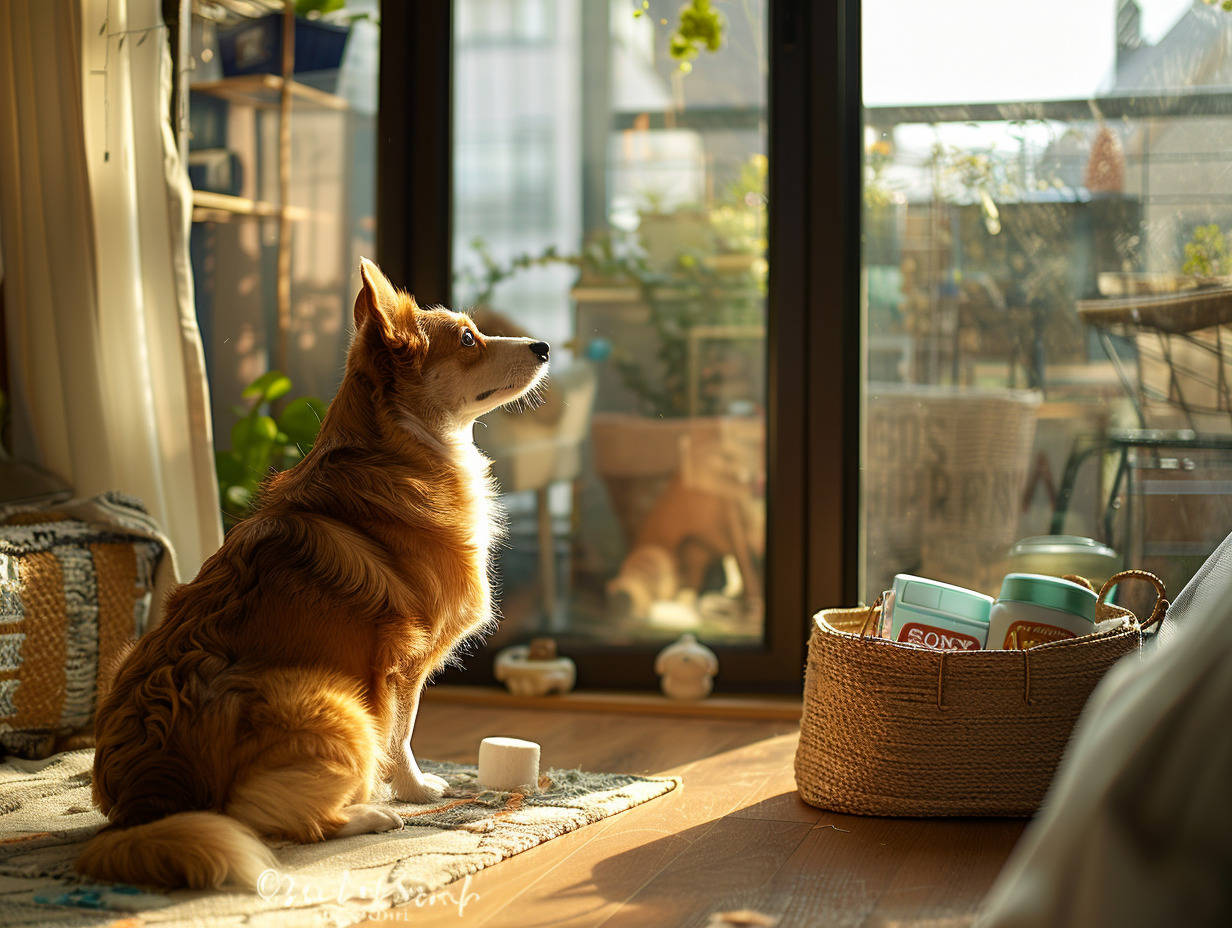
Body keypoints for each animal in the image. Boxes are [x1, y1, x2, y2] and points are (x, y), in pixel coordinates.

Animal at [79, 258, 551, 892]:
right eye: (469, 340)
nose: (544, 346)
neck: (404, 447)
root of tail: (145, 805)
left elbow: (401, 735)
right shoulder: (403, 666)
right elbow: (401, 735)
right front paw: (414, 791)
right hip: (339, 705)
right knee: (267, 819)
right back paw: (370, 815)